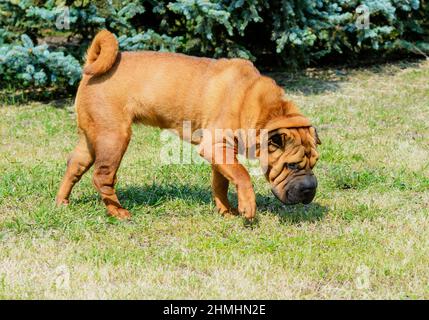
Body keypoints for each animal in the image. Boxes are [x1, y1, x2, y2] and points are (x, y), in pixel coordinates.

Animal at [55, 30, 320, 220]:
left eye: (315, 163)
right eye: (292, 165)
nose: (310, 188)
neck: (260, 108)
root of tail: (93, 64)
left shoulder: (221, 152)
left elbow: (222, 182)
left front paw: (226, 211)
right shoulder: (215, 146)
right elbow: (243, 174)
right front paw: (247, 207)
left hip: (94, 137)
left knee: (74, 165)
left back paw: (62, 202)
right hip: (114, 137)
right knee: (102, 177)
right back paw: (118, 212)